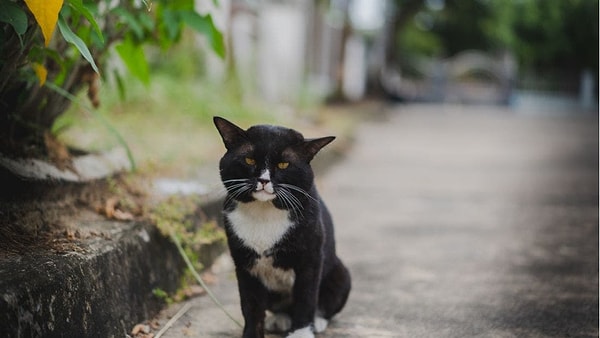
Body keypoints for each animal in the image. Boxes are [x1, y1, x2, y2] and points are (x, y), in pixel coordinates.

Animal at [213, 117, 352, 338]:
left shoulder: (310, 259)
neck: (264, 211)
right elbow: (251, 305)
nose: (263, 180)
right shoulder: (244, 264)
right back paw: (280, 319)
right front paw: (252, 334)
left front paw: (301, 333)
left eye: (284, 164)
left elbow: (305, 297)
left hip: (340, 273)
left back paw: (317, 321)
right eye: (249, 160)